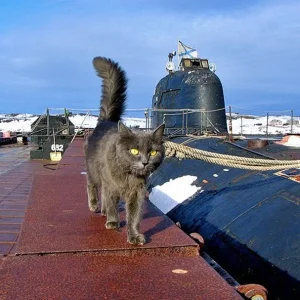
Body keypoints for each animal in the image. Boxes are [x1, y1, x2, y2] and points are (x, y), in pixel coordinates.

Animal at [84, 57, 165, 245]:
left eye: (153, 152)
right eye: (134, 151)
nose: (145, 162)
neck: (128, 175)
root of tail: (105, 121)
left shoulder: (137, 192)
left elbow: (134, 216)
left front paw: (134, 236)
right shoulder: (111, 184)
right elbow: (112, 204)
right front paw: (113, 222)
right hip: (94, 170)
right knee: (92, 185)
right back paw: (95, 205)